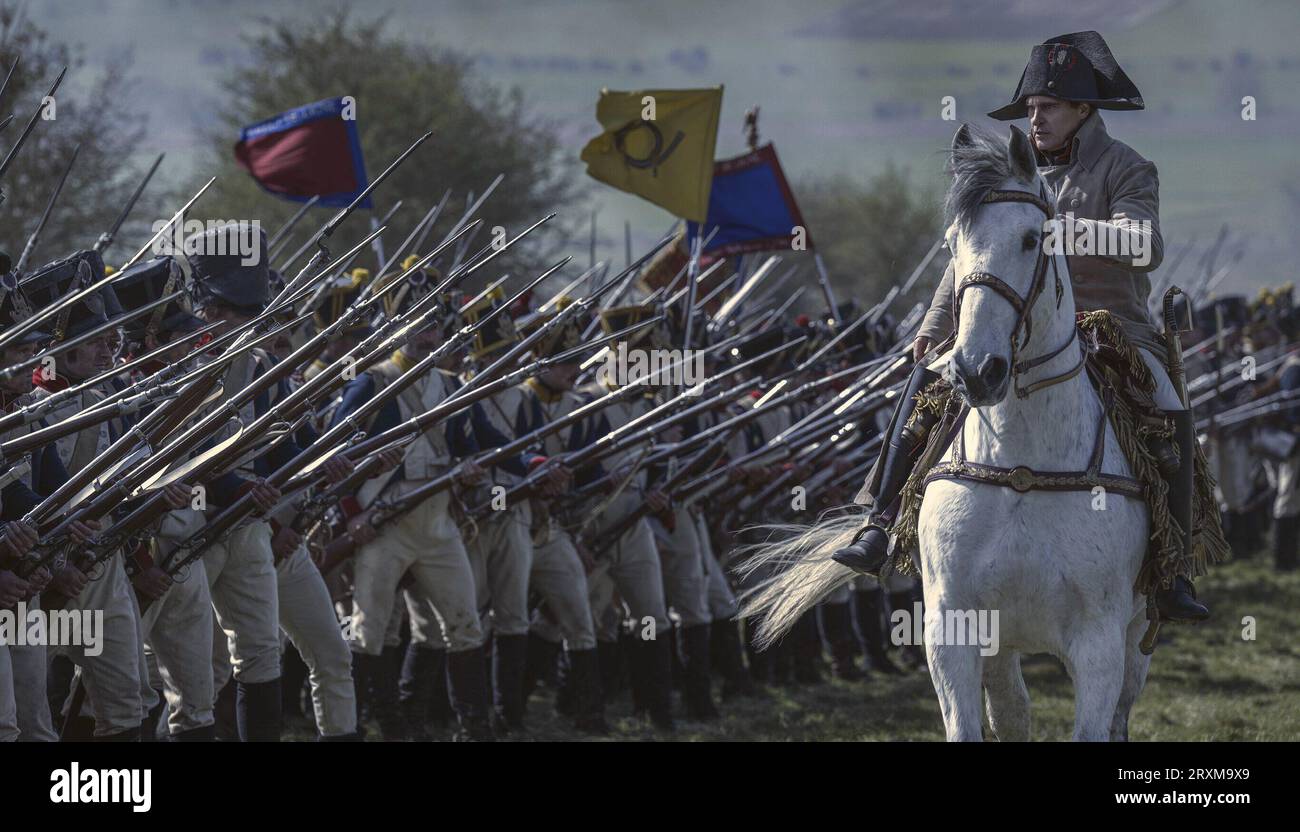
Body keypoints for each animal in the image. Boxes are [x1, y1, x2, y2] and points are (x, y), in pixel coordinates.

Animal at [748, 123, 1154, 738]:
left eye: (1032, 240)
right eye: (953, 244)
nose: (974, 370)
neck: (1021, 464)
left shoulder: (1100, 644)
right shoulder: (954, 631)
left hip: (1136, 637)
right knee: (1012, 712)